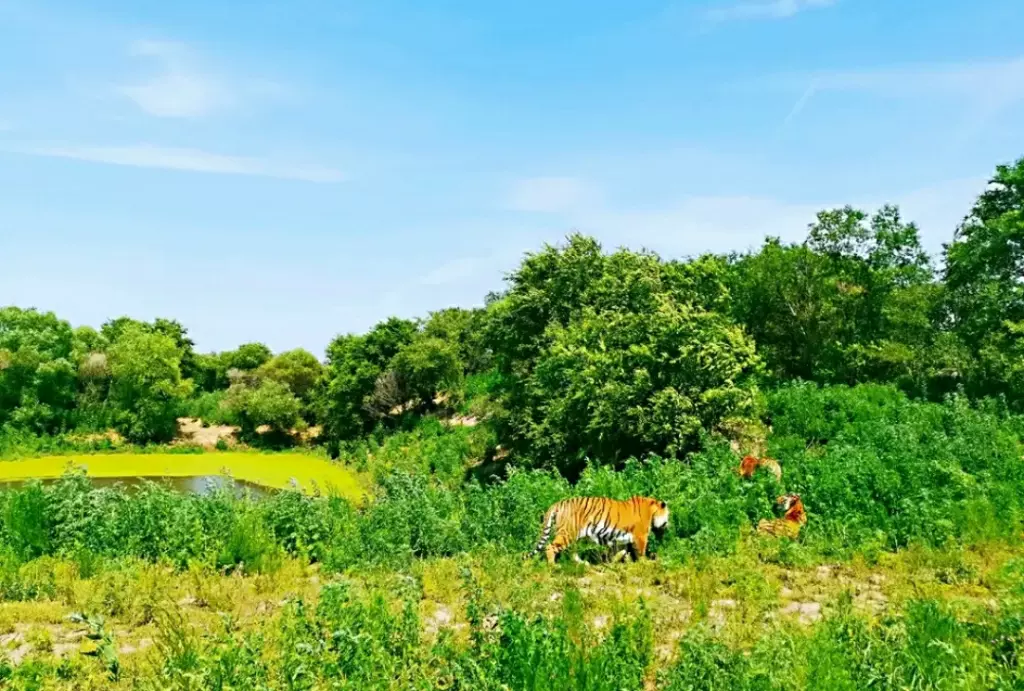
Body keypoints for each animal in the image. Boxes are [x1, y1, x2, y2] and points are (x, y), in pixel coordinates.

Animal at [528, 495, 671, 565]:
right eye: (668, 515)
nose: (667, 524)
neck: (651, 511)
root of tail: (558, 503)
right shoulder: (641, 536)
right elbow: (641, 553)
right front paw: (644, 563)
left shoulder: (623, 538)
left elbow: (622, 551)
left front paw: (615, 561)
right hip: (567, 533)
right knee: (550, 547)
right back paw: (553, 565)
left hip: (573, 536)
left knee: (572, 552)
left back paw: (583, 563)